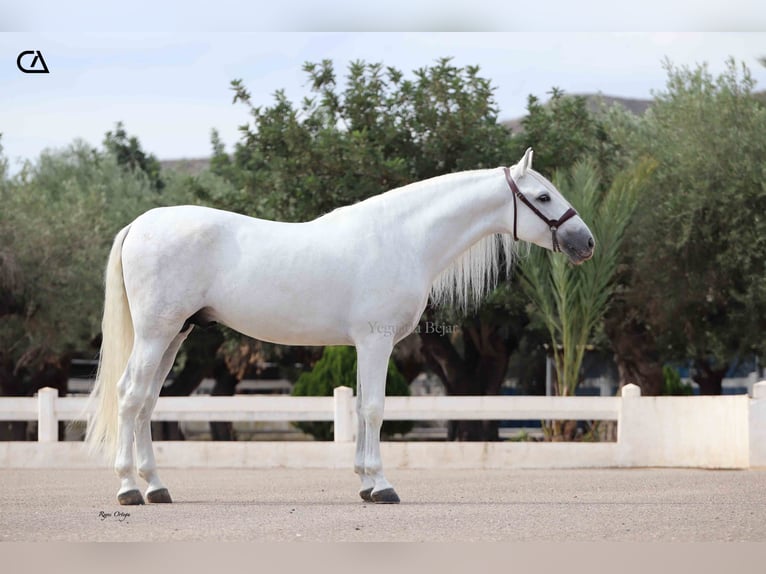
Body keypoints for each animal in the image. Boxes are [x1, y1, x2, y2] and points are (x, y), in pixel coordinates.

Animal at [87, 150, 596, 508]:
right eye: (544, 197)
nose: (586, 242)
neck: (402, 238)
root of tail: (139, 225)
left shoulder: (364, 346)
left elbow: (360, 408)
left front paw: (365, 484)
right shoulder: (376, 341)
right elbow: (373, 409)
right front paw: (383, 486)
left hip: (176, 335)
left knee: (148, 402)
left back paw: (156, 487)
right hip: (156, 334)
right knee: (130, 396)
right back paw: (129, 489)